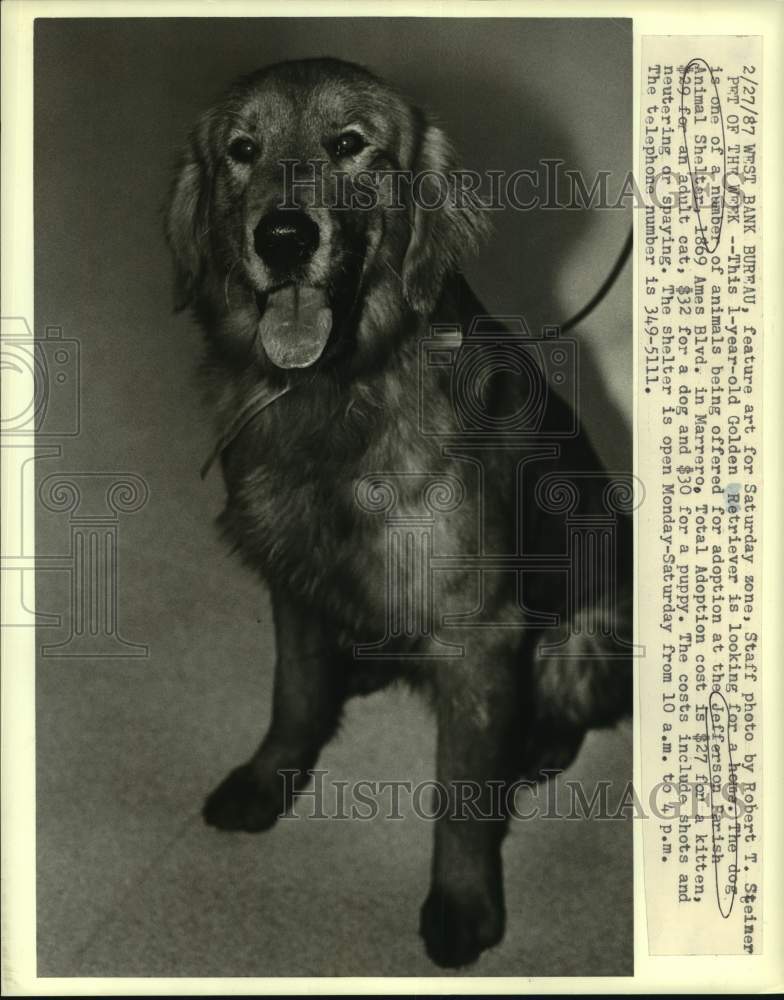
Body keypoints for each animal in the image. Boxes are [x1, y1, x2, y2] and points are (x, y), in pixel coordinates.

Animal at [165, 56, 632, 968]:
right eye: (242, 150)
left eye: (350, 145)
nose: (283, 237)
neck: (335, 392)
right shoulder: (291, 576)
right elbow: (294, 695)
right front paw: (269, 780)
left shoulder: (481, 634)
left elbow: (462, 795)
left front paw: (463, 904)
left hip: (583, 637)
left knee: (568, 711)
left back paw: (535, 749)